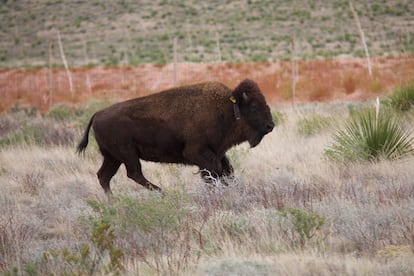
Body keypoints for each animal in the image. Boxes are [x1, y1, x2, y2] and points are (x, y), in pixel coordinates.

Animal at [77, 78, 274, 193]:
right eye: (253, 106)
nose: (270, 125)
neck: (228, 108)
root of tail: (97, 114)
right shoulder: (197, 153)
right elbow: (213, 173)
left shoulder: (218, 153)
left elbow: (225, 171)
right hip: (127, 154)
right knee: (133, 173)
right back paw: (161, 192)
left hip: (113, 157)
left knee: (104, 176)